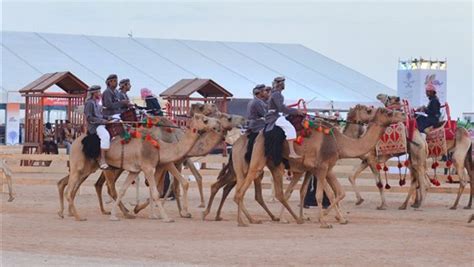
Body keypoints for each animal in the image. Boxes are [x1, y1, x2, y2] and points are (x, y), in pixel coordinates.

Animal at [58, 113, 219, 222]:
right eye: (205, 119)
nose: (217, 123)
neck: (161, 147)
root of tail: (75, 141)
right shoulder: (149, 167)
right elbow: (155, 192)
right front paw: (166, 217)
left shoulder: (135, 170)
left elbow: (124, 190)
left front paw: (117, 215)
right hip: (81, 165)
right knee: (72, 189)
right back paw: (78, 216)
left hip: (88, 168)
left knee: (70, 185)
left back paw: (67, 213)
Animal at [233, 107, 404, 228]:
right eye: (388, 112)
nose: (402, 113)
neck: (339, 143)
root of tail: (259, 135)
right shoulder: (321, 167)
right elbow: (321, 195)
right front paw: (323, 221)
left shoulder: (324, 168)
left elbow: (336, 192)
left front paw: (339, 218)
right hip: (260, 161)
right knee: (244, 189)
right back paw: (244, 221)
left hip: (274, 164)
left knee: (280, 193)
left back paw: (291, 219)